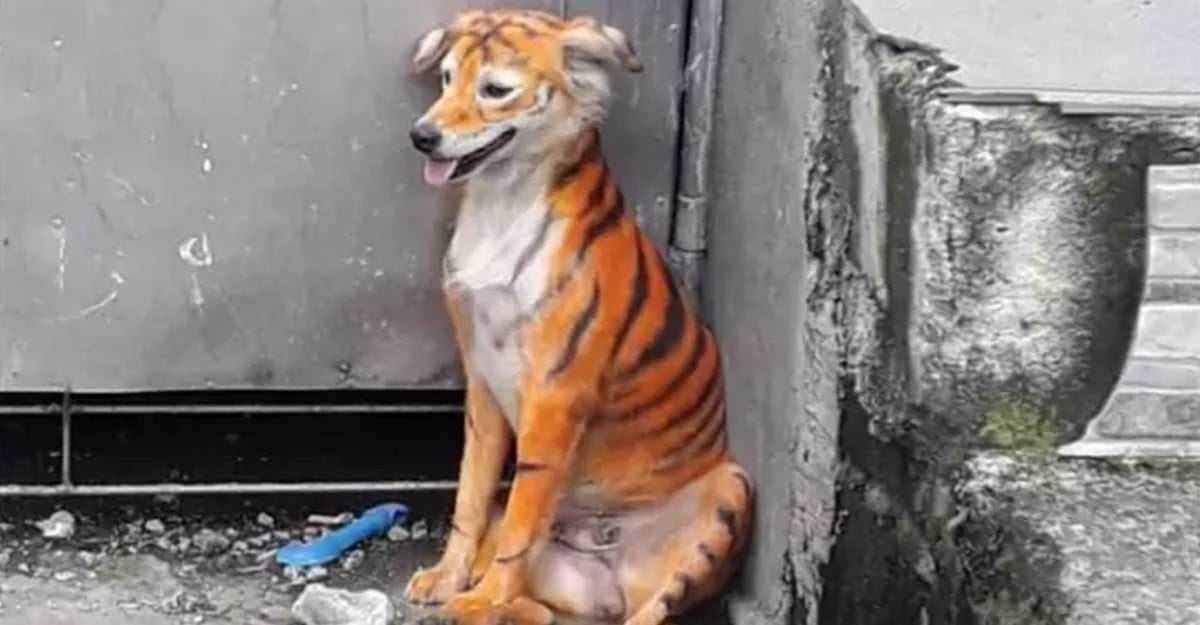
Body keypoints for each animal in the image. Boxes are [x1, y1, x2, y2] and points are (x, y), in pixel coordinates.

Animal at [402, 9, 754, 625]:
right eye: (445, 78)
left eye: (495, 90)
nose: (422, 135)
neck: (501, 203)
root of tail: (612, 562)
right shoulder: (481, 379)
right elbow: (471, 494)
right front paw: (449, 580)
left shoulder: (554, 393)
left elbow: (522, 520)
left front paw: (480, 597)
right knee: (550, 611)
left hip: (733, 492)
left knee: (654, 609)